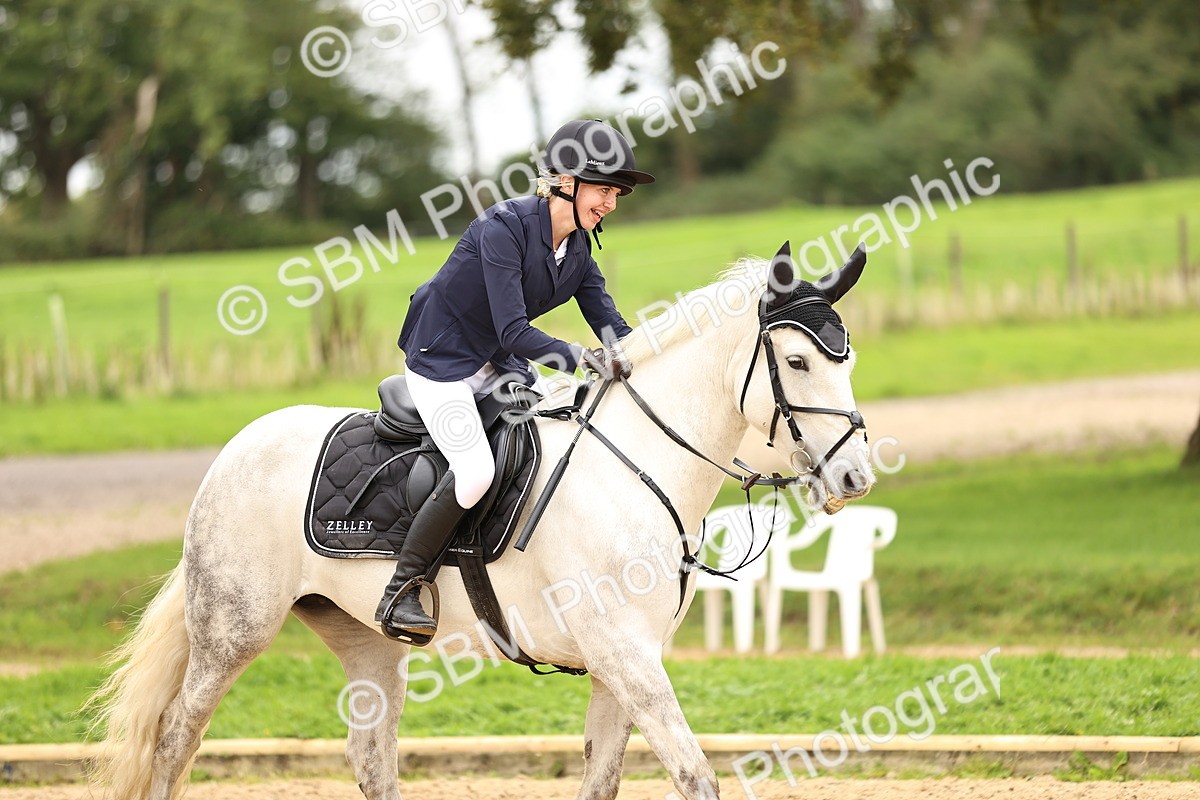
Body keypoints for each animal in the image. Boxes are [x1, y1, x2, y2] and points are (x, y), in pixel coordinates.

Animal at [87, 242, 875, 800]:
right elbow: (695, 776)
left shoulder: (621, 662)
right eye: (798, 361)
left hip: (367, 643)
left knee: (371, 759)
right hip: (232, 633)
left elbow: (603, 780)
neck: (634, 465)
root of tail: (235, 448)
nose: (855, 478)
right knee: (175, 742)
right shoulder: (627, 655)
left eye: (847, 359)